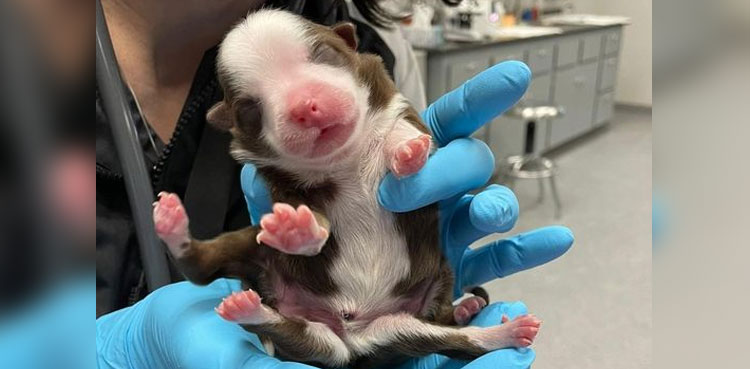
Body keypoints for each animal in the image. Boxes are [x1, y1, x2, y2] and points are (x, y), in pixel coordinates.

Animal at [153, 9, 540, 368]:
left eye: (324, 54)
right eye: (250, 108)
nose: (304, 106)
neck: (345, 158)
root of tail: (352, 335)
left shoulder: (397, 106)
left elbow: (403, 130)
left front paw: (406, 153)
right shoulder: (283, 185)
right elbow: (314, 217)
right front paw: (296, 229)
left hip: (406, 327)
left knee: (462, 341)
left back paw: (497, 326)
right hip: (260, 255)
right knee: (203, 268)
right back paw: (187, 240)